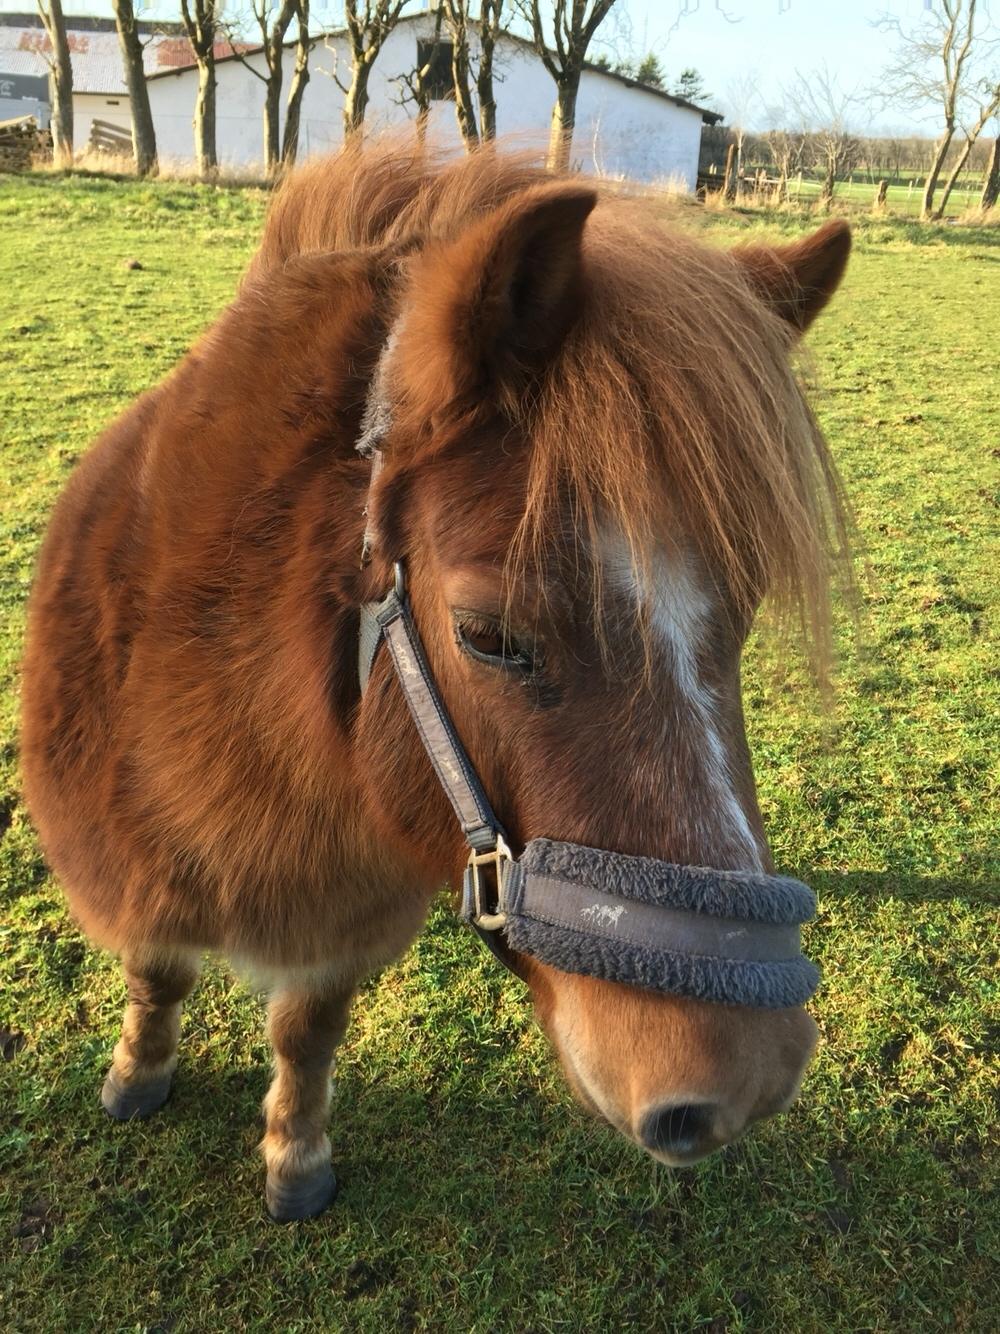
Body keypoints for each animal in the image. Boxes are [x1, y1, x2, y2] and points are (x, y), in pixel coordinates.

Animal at [21, 143, 853, 1221]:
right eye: (486, 635)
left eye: (744, 613)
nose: (744, 1078)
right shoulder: (130, 866)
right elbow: (156, 971)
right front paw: (138, 1071)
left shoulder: (344, 921)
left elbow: (305, 1031)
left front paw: (295, 1153)